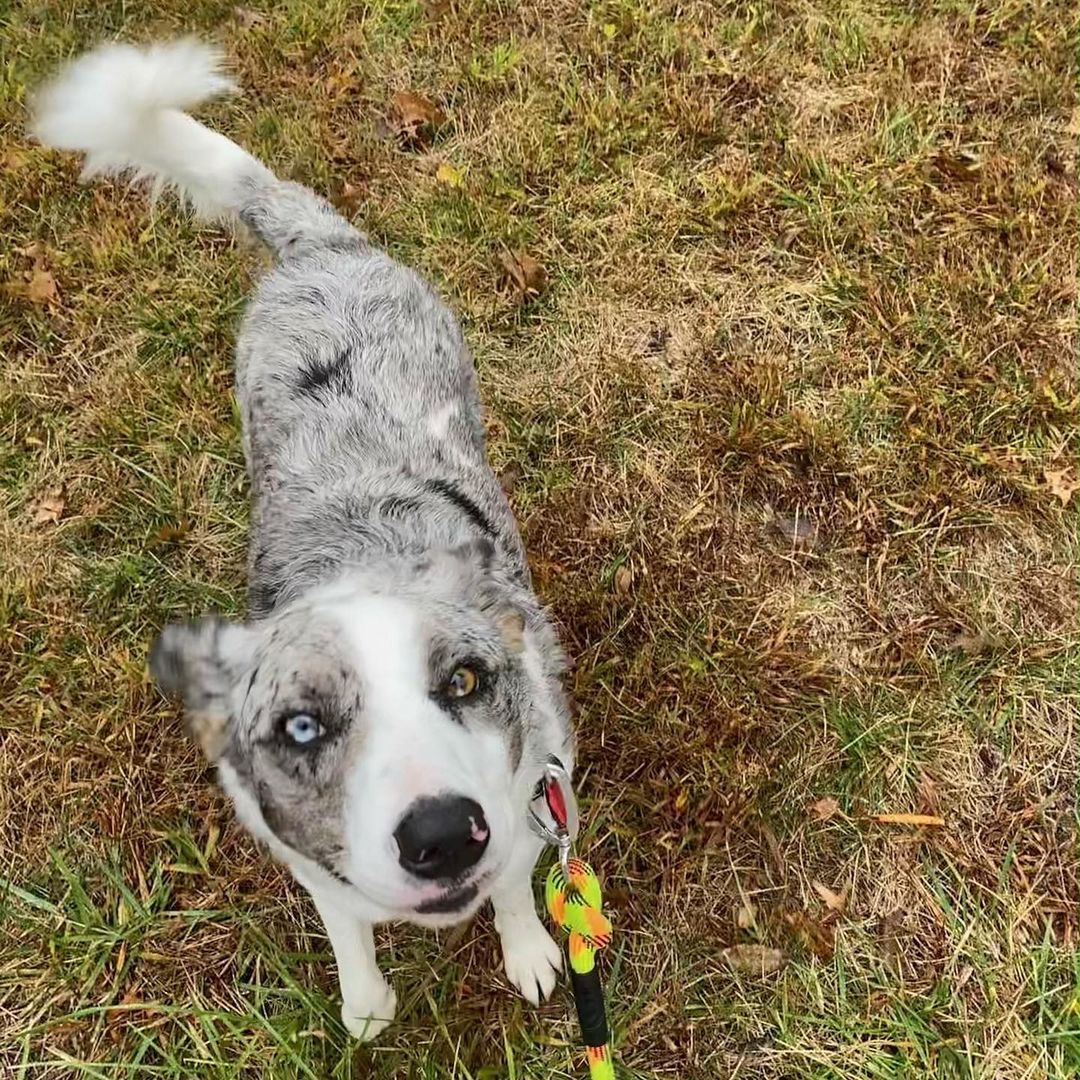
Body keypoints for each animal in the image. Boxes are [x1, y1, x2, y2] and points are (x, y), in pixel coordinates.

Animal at [33, 39, 574, 1036]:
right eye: (301, 725)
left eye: (465, 681)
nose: (443, 835)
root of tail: (320, 249)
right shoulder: (307, 857)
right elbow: (346, 928)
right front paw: (365, 1005)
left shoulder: (534, 799)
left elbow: (516, 889)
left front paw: (525, 953)